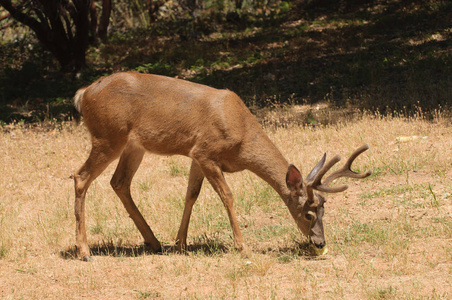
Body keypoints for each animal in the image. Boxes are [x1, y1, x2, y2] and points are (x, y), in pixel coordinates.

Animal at [73, 71, 370, 262]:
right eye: (308, 214)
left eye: (324, 209)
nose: (320, 242)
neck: (242, 138)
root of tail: (83, 93)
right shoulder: (206, 151)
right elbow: (227, 196)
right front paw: (241, 246)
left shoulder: (195, 155)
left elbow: (191, 195)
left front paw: (180, 244)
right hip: (108, 135)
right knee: (80, 177)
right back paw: (84, 251)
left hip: (134, 145)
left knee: (119, 182)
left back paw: (154, 242)